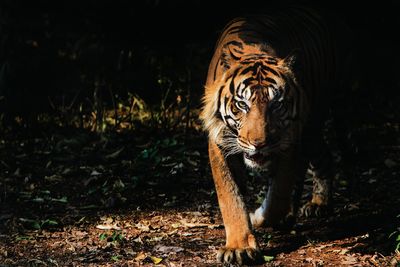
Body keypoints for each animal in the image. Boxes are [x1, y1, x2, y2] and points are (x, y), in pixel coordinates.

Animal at [199, 5, 354, 264]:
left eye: (276, 105)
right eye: (242, 105)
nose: (258, 144)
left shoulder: (289, 141)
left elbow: (279, 194)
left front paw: (259, 216)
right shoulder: (220, 142)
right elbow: (230, 197)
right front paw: (239, 247)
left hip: (312, 121)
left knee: (318, 158)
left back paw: (315, 204)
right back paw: (316, 203)